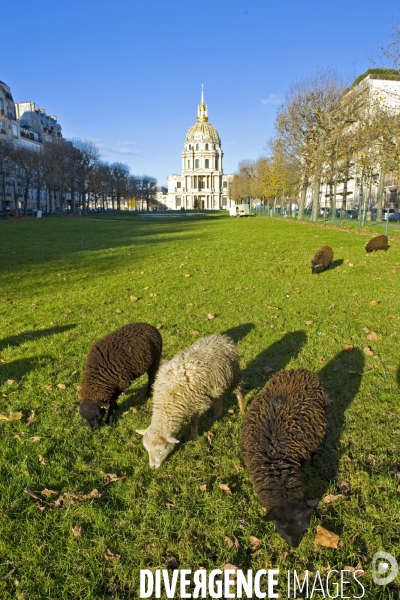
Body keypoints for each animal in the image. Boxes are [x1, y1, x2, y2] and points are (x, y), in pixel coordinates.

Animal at [137, 332, 244, 468]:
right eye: (147, 449)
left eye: (162, 449)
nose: (153, 467)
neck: (167, 402)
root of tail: (221, 338)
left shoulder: (195, 402)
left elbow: (193, 421)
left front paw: (193, 437)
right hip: (217, 382)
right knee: (219, 397)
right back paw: (217, 414)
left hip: (233, 376)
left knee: (239, 392)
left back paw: (242, 409)